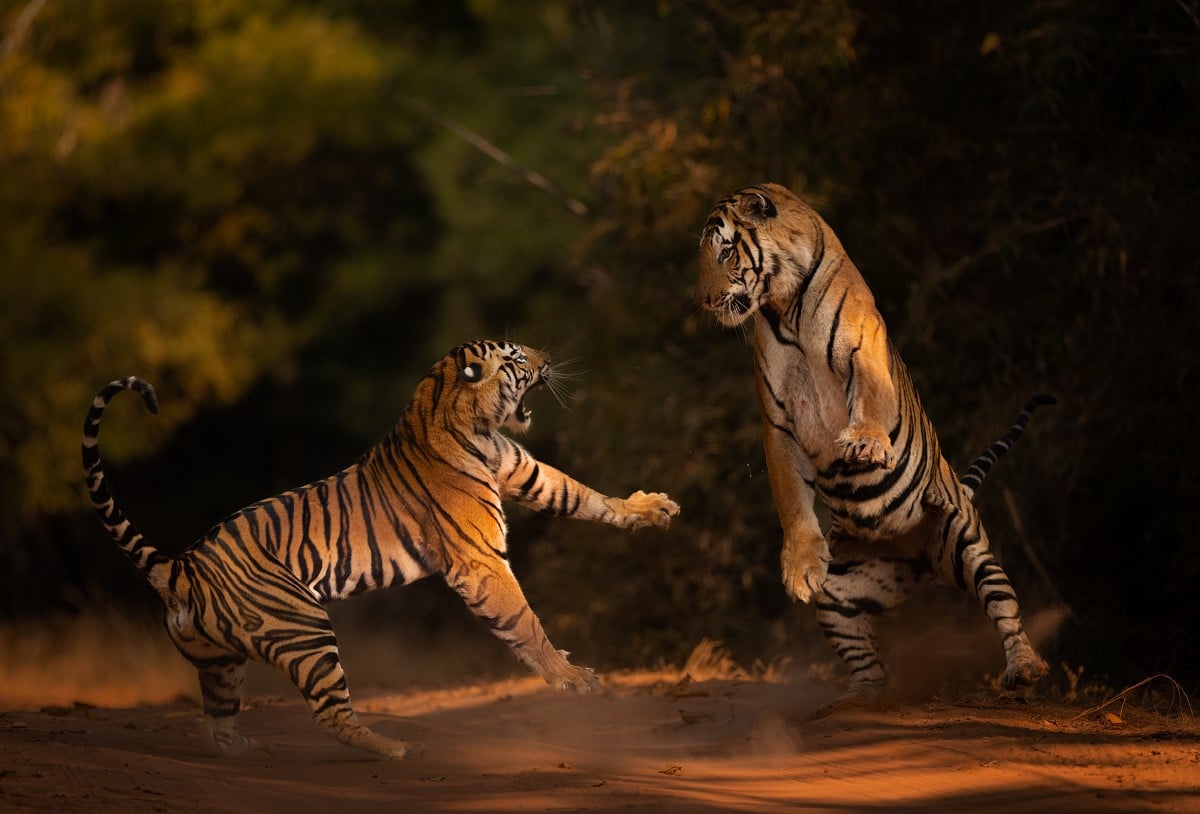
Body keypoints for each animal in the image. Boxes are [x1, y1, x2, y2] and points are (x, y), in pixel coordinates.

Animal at [82, 338, 686, 758]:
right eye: (517, 357)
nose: (549, 357)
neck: (477, 426)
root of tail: (179, 567)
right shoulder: (480, 561)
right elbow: (525, 621)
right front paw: (571, 679)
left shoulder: (528, 474)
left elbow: (586, 497)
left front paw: (651, 508)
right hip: (306, 629)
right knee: (330, 715)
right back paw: (396, 748)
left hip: (221, 664)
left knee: (219, 722)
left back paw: (249, 749)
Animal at [696, 184, 1051, 705]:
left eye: (725, 251)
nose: (703, 300)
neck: (785, 309)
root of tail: (920, 562)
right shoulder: (777, 421)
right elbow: (791, 500)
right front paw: (800, 567)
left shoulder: (863, 352)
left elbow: (868, 399)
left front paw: (864, 444)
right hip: (839, 600)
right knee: (867, 663)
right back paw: (858, 700)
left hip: (966, 542)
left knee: (1003, 604)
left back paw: (1024, 668)